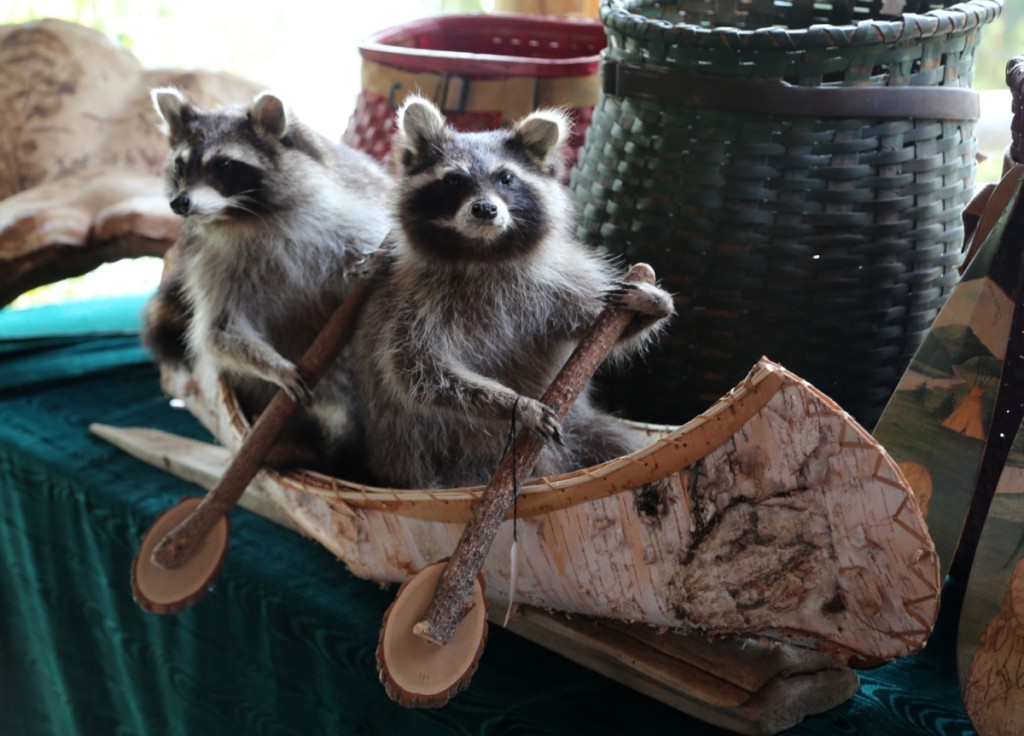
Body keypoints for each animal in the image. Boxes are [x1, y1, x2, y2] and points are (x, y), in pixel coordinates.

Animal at [148, 89, 391, 468]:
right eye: (180, 166)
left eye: (224, 165)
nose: (179, 203)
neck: (243, 216)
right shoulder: (211, 262)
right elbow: (219, 330)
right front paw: (275, 367)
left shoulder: (348, 213)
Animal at [356, 96, 675, 489]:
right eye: (453, 179)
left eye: (506, 178)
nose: (485, 208)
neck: (482, 255)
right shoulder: (411, 304)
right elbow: (418, 372)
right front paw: (516, 404)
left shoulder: (554, 285)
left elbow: (599, 331)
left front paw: (654, 305)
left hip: (583, 427)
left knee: (616, 441)